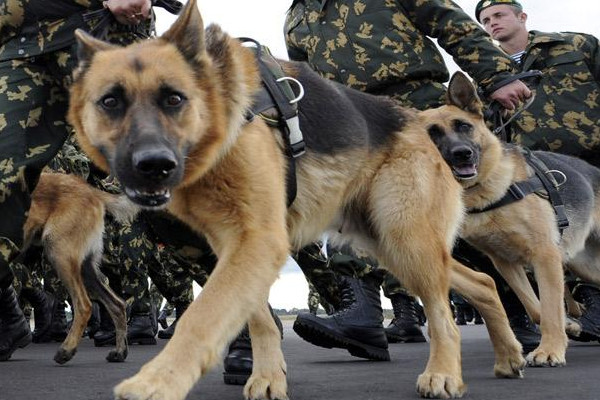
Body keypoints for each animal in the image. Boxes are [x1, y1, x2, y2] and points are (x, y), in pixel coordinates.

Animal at [24, 173, 137, 364]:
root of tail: (91, 190)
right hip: (85, 269)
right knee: (117, 304)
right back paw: (120, 352)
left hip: (60, 253)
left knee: (84, 306)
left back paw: (66, 350)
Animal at [67, 1, 524, 398]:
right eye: (110, 102)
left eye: (174, 98)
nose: (153, 165)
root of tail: (422, 128)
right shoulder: (238, 244)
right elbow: (256, 318)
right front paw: (268, 377)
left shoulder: (256, 240)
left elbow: (202, 316)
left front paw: (157, 384)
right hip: (393, 245)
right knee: (482, 283)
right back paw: (509, 356)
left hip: (406, 239)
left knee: (444, 315)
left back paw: (443, 374)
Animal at [424, 71, 600, 368]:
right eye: (432, 134)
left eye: (464, 126)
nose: (462, 154)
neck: (488, 191)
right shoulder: (506, 263)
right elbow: (537, 309)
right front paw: (569, 326)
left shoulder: (545, 256)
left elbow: (550, 308)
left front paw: (549, 350)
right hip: (585, 265)